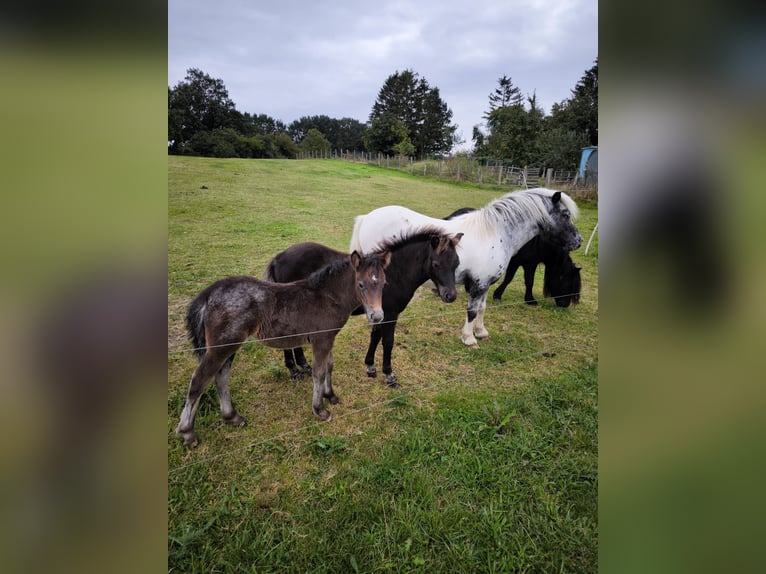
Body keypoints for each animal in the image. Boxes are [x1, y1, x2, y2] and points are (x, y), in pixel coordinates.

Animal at [174, 250, 390, 448]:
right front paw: (319, 409)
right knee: (199, 380)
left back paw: (232, 417)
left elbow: (329, 366)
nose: (377, 316)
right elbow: (319, 372)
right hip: (221, 346)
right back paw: (187, 433)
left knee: (221, 376)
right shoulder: (321, 340)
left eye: (383, 284)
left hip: (227, 346)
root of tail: (209, 293)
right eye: (361, 284)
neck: (328, 296)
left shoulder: (329, 338)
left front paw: (330, 396)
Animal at [268, 232, 464, 390]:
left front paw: (370, 367)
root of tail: (279, 257)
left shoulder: (379, 313)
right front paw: (390, 375)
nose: (450, 295)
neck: (396, 272)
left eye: (457, 263)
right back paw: (294, 370)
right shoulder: (391, 314)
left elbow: (375, 336)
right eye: (436, 264)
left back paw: (304, 366)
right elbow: (388, 341)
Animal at [444, 209, 584, 310]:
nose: (564, 305)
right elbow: (527, 281)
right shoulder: (528, 264)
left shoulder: (516, 262)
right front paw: (529, 299)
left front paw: (497, 294)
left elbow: (508, 278)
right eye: (566, 282)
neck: (538, 243)